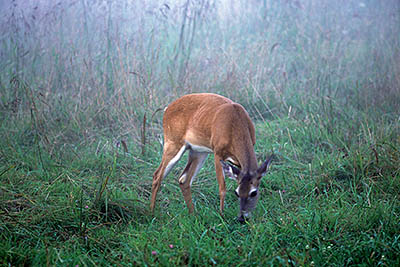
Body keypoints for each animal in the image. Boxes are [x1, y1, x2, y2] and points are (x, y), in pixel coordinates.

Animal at [150, 93, 272, 223]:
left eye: (254, 193)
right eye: (237, 193)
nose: (242, 218)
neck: (236, 122)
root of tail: (167, 109)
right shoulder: (218, 152)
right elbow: (222, 187)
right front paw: (222, 216)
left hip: (198, 152)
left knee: (184, 179)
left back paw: (193, 214)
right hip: (173, 143)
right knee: (157, 176)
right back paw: (151, 213)